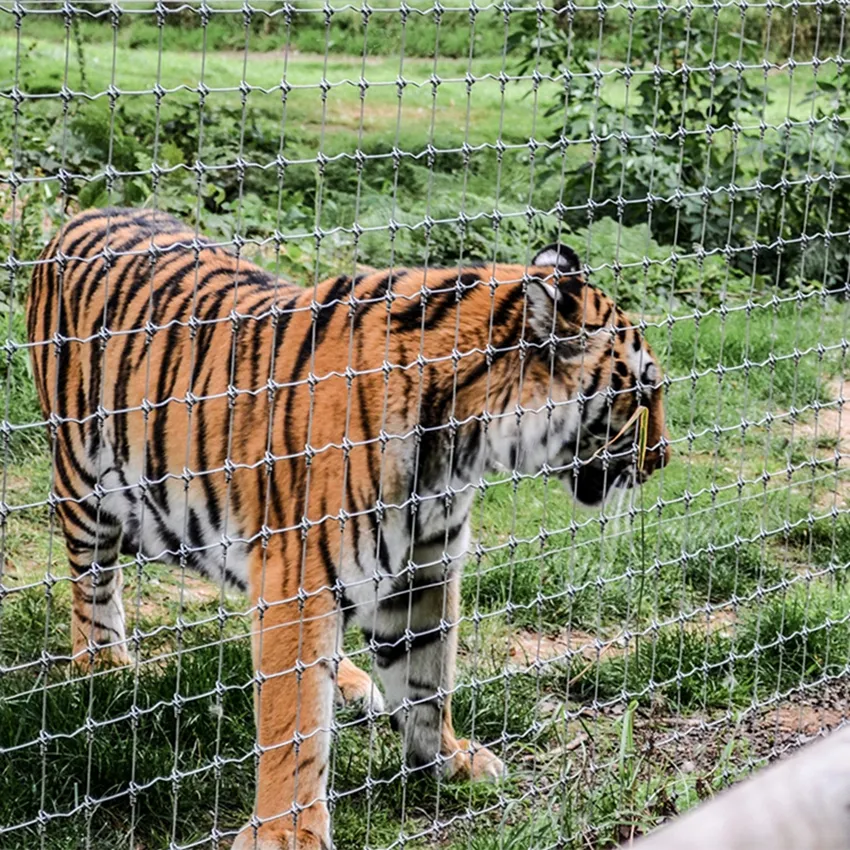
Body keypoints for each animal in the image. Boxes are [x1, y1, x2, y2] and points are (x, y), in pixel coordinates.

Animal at [26, 207, 668, 848]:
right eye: (641, 391)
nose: (661, 459)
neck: (461, 444)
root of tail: (83, 215)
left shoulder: (422, 570)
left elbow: (428, 679)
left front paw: (450, 762)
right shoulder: (300, 577)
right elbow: (294, 723)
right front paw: (286, 834)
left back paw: (351, 684)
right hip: (84, 483)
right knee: (93, 581)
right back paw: (103, 667)